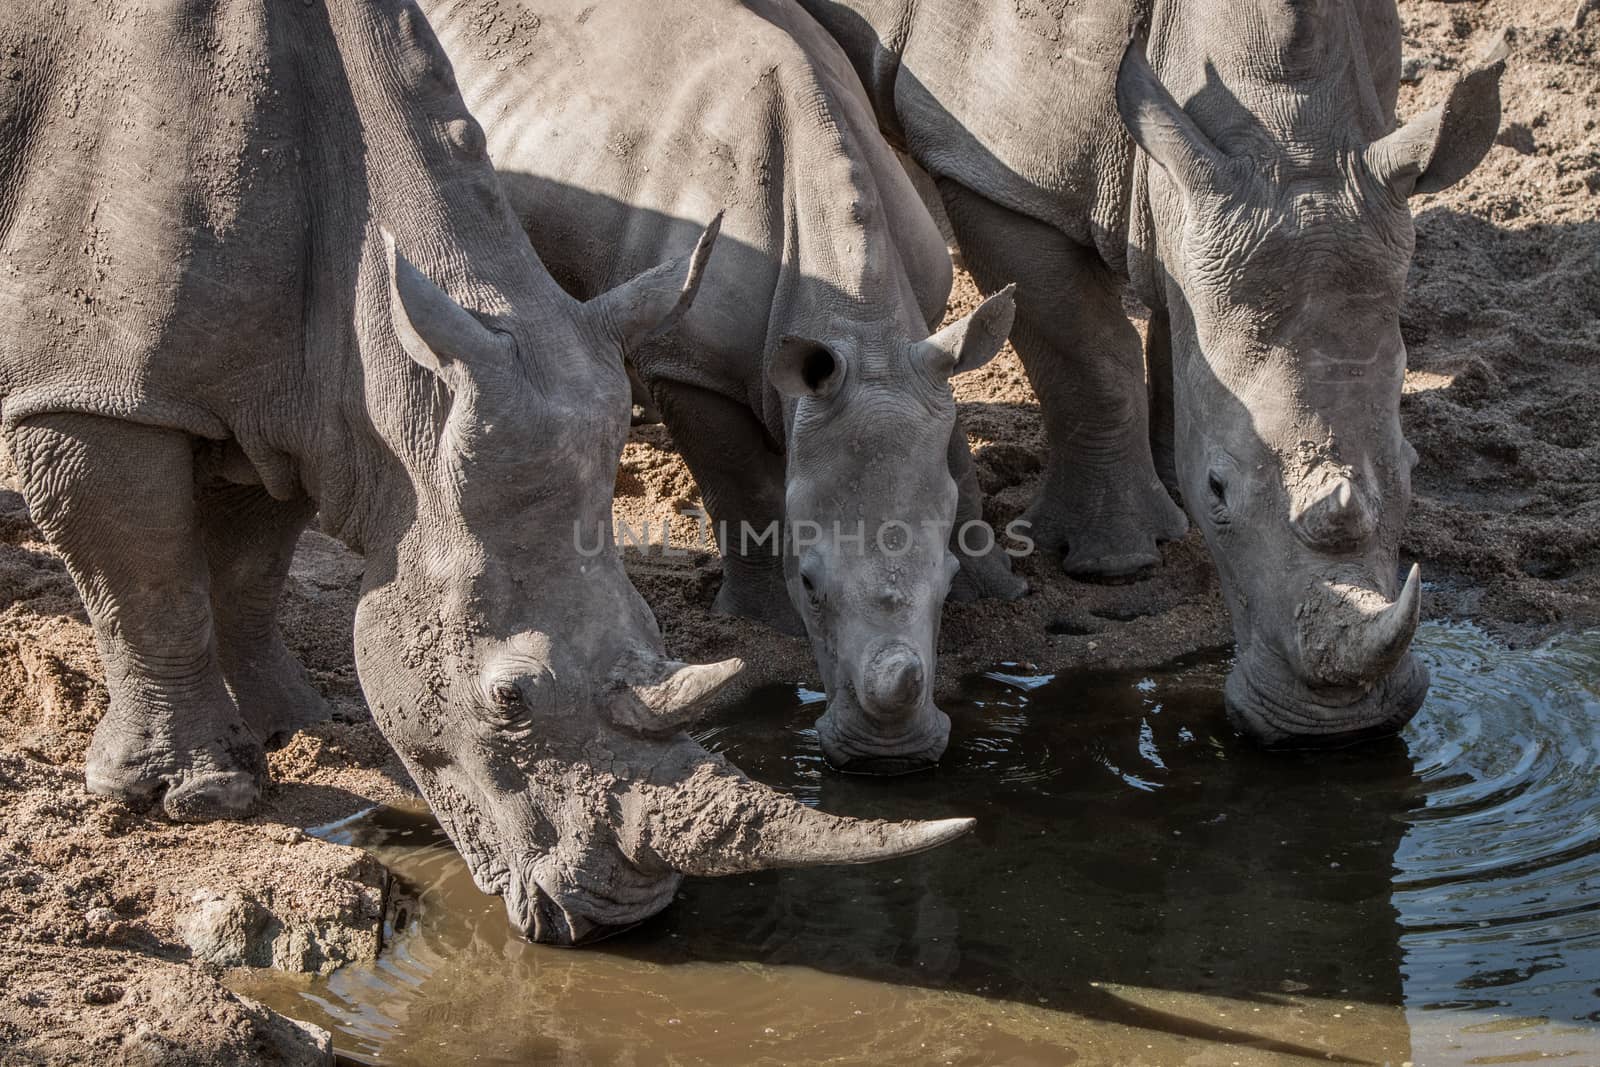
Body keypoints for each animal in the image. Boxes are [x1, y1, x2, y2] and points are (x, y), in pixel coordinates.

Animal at [422, 0, 1024, 771]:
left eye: (943, 585)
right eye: (810, 586)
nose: (888, 759)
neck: (860, 327)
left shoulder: (922, 355)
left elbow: (954, 460)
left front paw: (993, 587)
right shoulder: (686, 359)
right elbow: (738, 481)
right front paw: (763, 621)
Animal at [800, 0, 1510, 748]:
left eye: (1413, 470)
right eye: (1220, 489)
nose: (1338, 728)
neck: (1283, 130)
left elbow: (1186, 333)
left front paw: (1172, 495)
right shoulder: (995, 174)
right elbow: (1088, 355)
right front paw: (1118, 561)